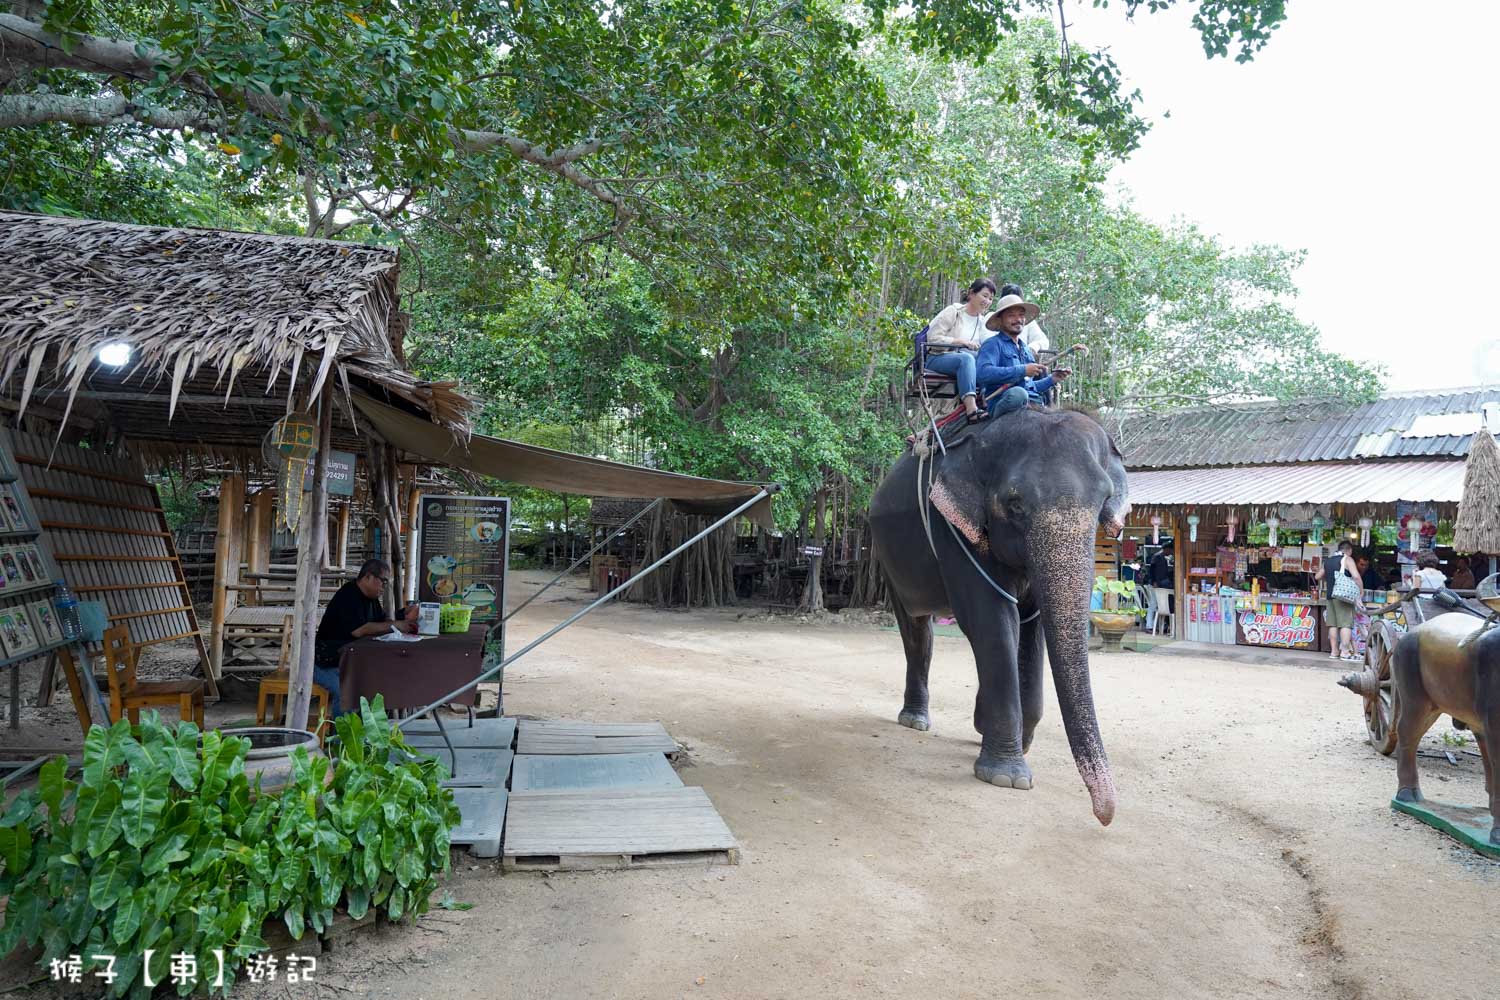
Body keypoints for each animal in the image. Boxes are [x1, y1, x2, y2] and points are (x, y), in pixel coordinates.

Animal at [870, 407, 1128, 827]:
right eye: (1015, 504)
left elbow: (1030, 625)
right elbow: (992, 617)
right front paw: (1007, 777)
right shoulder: (951, 528)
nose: (1104, 817)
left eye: (1104, 499)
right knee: (917, 631)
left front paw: (1015, 742)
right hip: (887, 558)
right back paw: (914, 720)